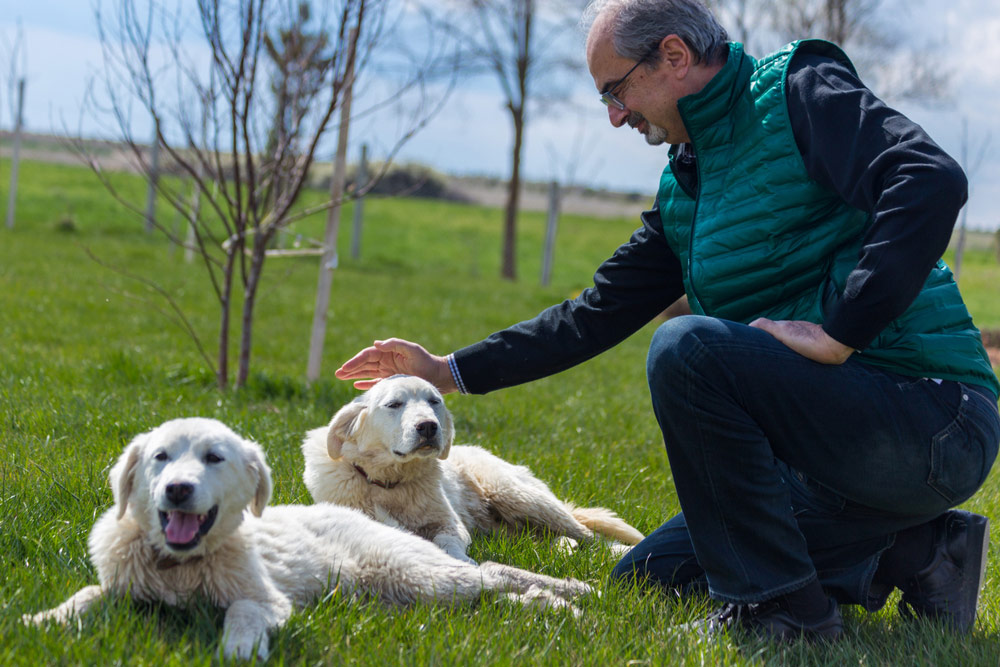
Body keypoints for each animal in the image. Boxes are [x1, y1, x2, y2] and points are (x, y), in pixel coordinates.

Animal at [23, 418, 592, 664]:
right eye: (161, 457)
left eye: (214, 458)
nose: (177, 490)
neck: (179, 568)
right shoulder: (124, 587)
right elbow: (88, 595)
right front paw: (43, 619)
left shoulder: (265, 598)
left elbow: (243, 611)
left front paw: (239, 649)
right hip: (395, 593)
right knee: (483, 594)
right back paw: (553, 605)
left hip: (413, 572)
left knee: (485, 576)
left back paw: (570, 599)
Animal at [300, 376, 644, 564]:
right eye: (394, 404)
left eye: (434, 401)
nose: (428, 427)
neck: (391, 484)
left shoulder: (451, 525)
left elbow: (447, 543)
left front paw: (463, 560)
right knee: (556, 540)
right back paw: (564, 550)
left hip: (518, 496)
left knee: (590, 537)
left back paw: (619, 552)